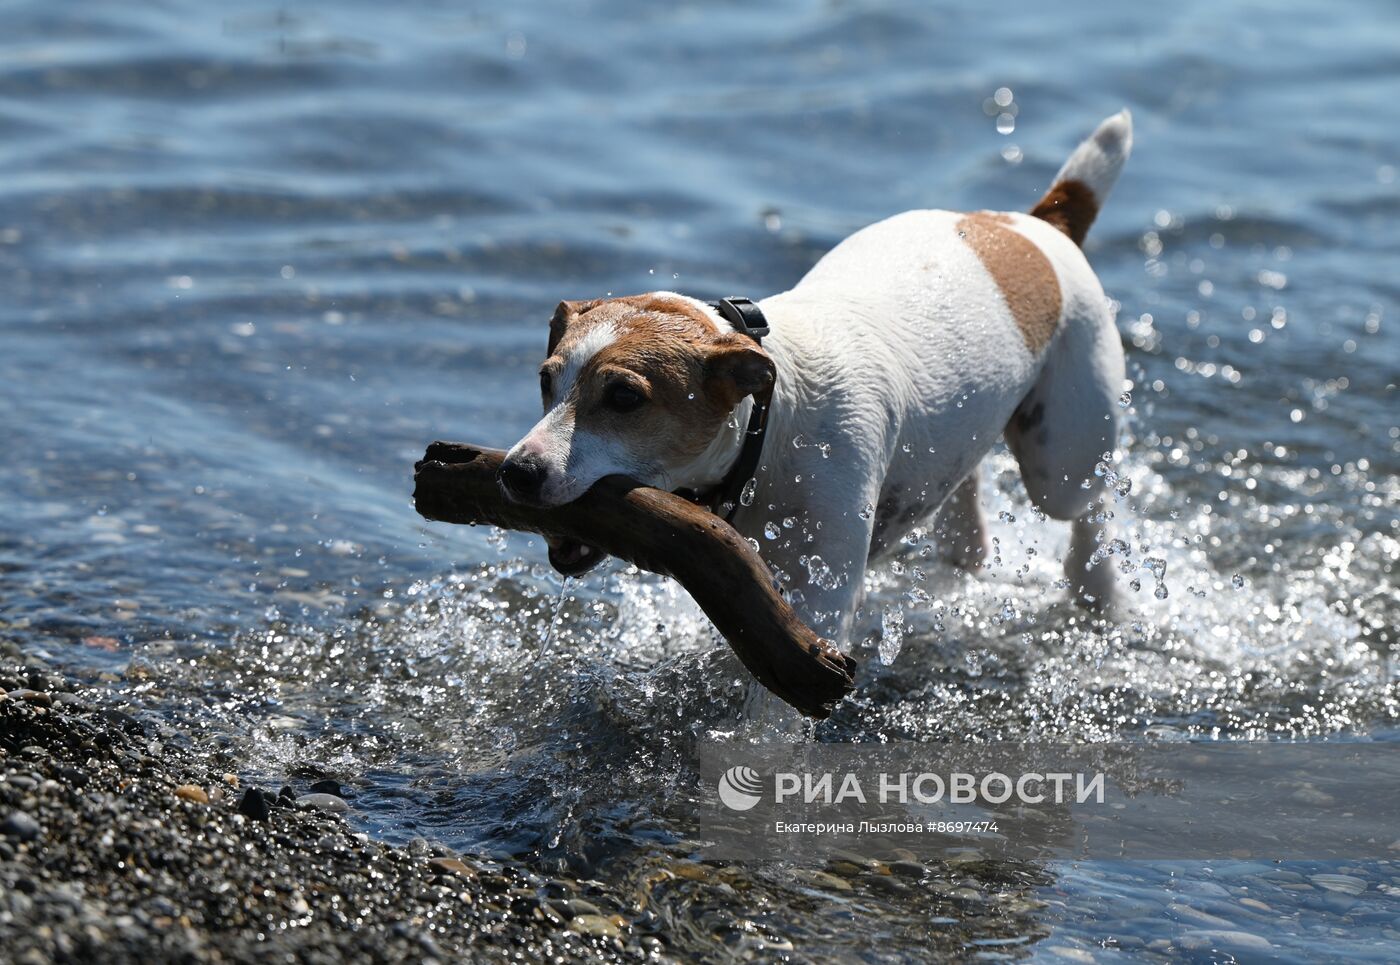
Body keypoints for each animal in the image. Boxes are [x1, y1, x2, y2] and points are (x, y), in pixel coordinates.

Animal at [498, 109, 1131, 644]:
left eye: (625, 396)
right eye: (545, 381)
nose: (517, 472)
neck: (772, 427)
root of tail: (1035, 225)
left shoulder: (821, 591)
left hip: (1064, 456)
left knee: (1087, 508)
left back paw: (1098, 594)